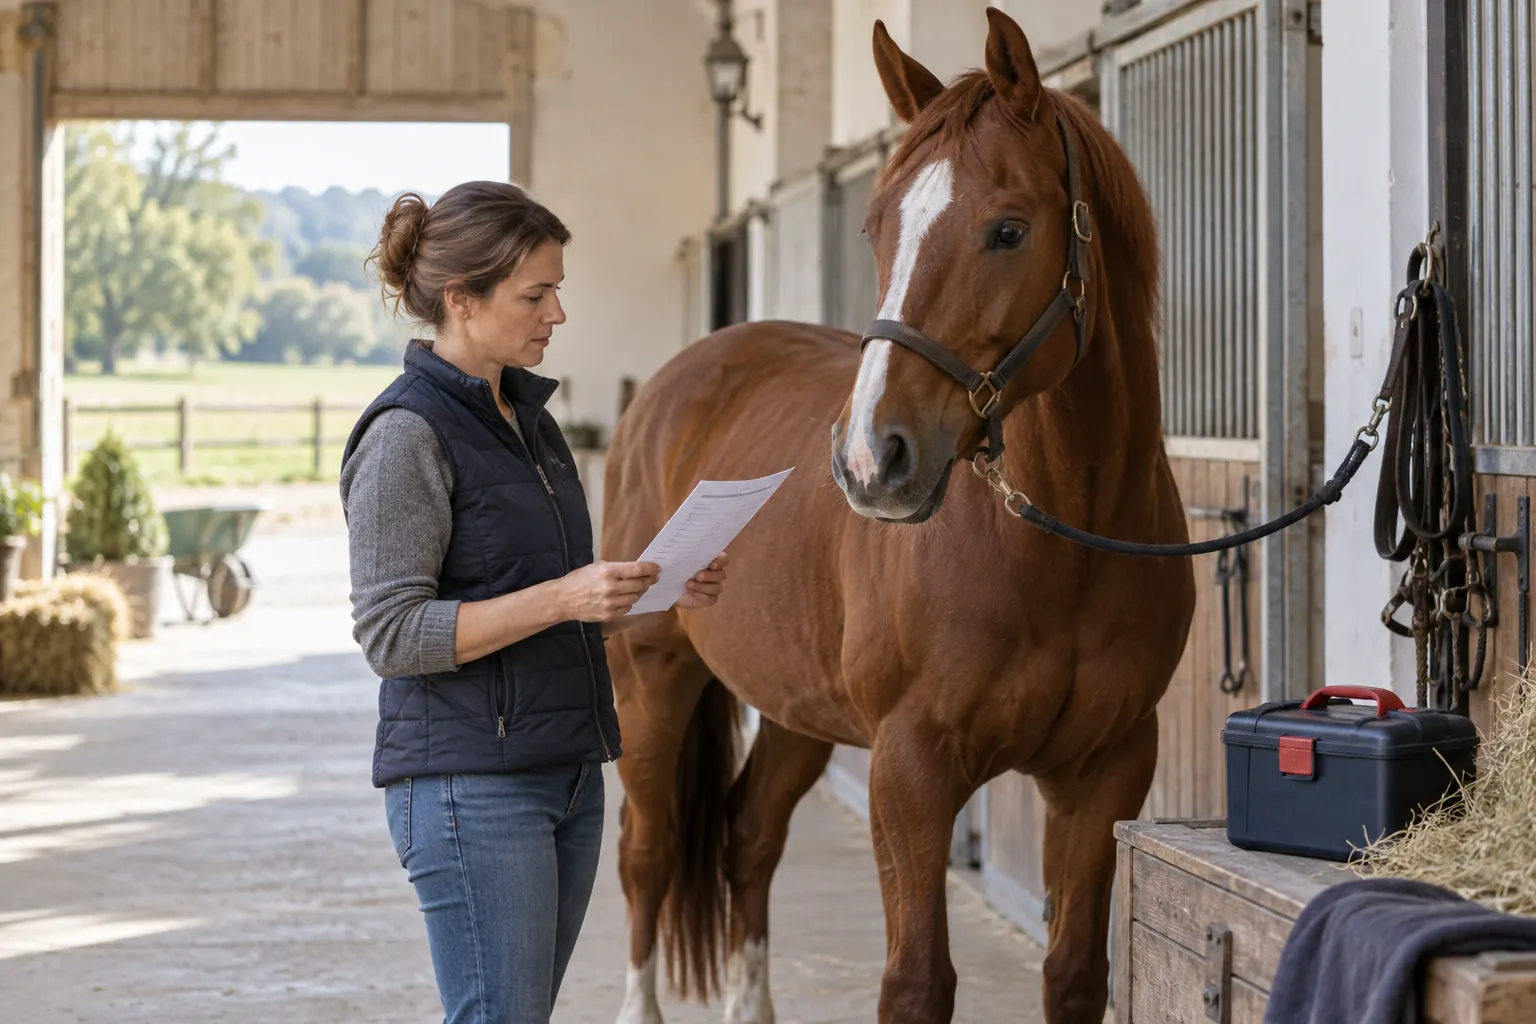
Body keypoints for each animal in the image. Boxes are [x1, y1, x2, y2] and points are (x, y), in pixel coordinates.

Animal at [601, 8, 1195, 1023]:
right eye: (877, 228)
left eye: (1008, 230)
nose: (870, 461)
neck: (1057, 547)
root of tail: (671, 387)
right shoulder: (910, 769)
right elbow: (916, 982)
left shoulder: (1106, 771)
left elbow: (1076, 973)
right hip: (651, 675)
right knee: (648, 852)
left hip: (793, 705)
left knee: (749, 838)